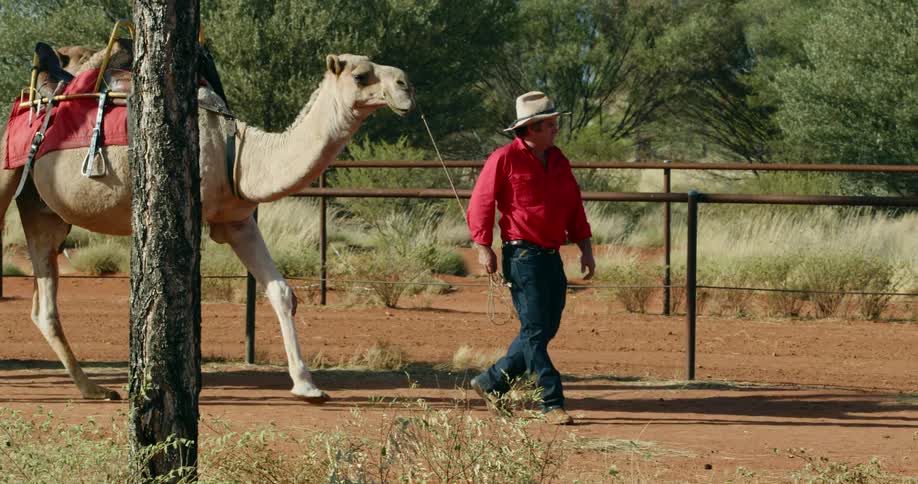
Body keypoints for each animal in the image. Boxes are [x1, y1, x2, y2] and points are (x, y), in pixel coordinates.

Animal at [0, 53, 414, 402]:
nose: (406, 86)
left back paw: (94, 389)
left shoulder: (237, 221)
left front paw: (307, 386)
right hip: (8, 178)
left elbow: (281, 292)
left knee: (44, 304)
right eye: (361, 75)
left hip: (43, 209)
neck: (240, 154)